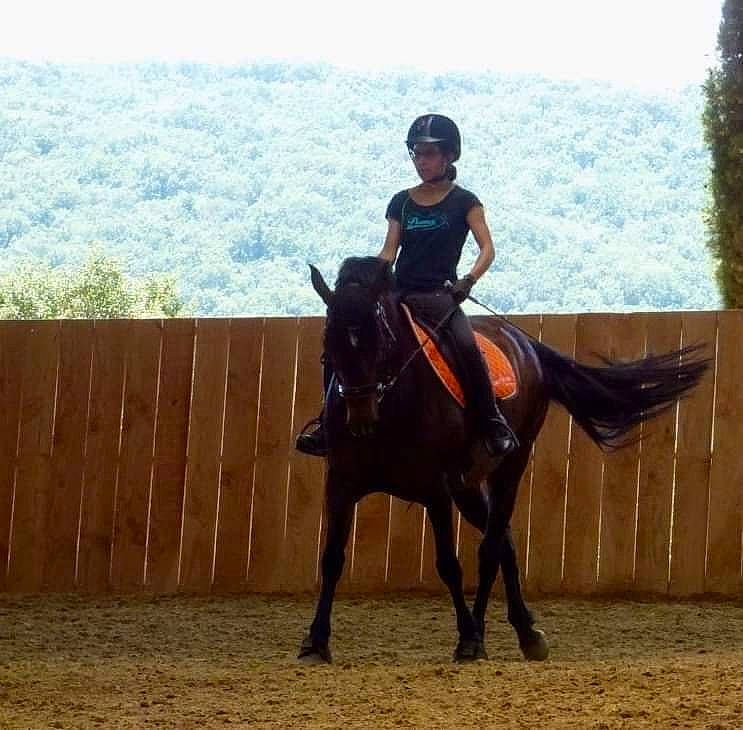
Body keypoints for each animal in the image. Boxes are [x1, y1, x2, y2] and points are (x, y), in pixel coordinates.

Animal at [298, 256, 708, 664]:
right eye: (329, 341)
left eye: (380, 339)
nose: (360, 417)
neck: (390, 405)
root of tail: (526, 343)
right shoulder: (342, 483)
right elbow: (331, 559)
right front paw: (315, 642)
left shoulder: (435, 489)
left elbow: (449, 565)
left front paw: (466, 636)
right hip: (467, 488)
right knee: (505, 542)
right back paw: (526, 633)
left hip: (509, 467)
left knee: (491, 548)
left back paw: (478, 637)